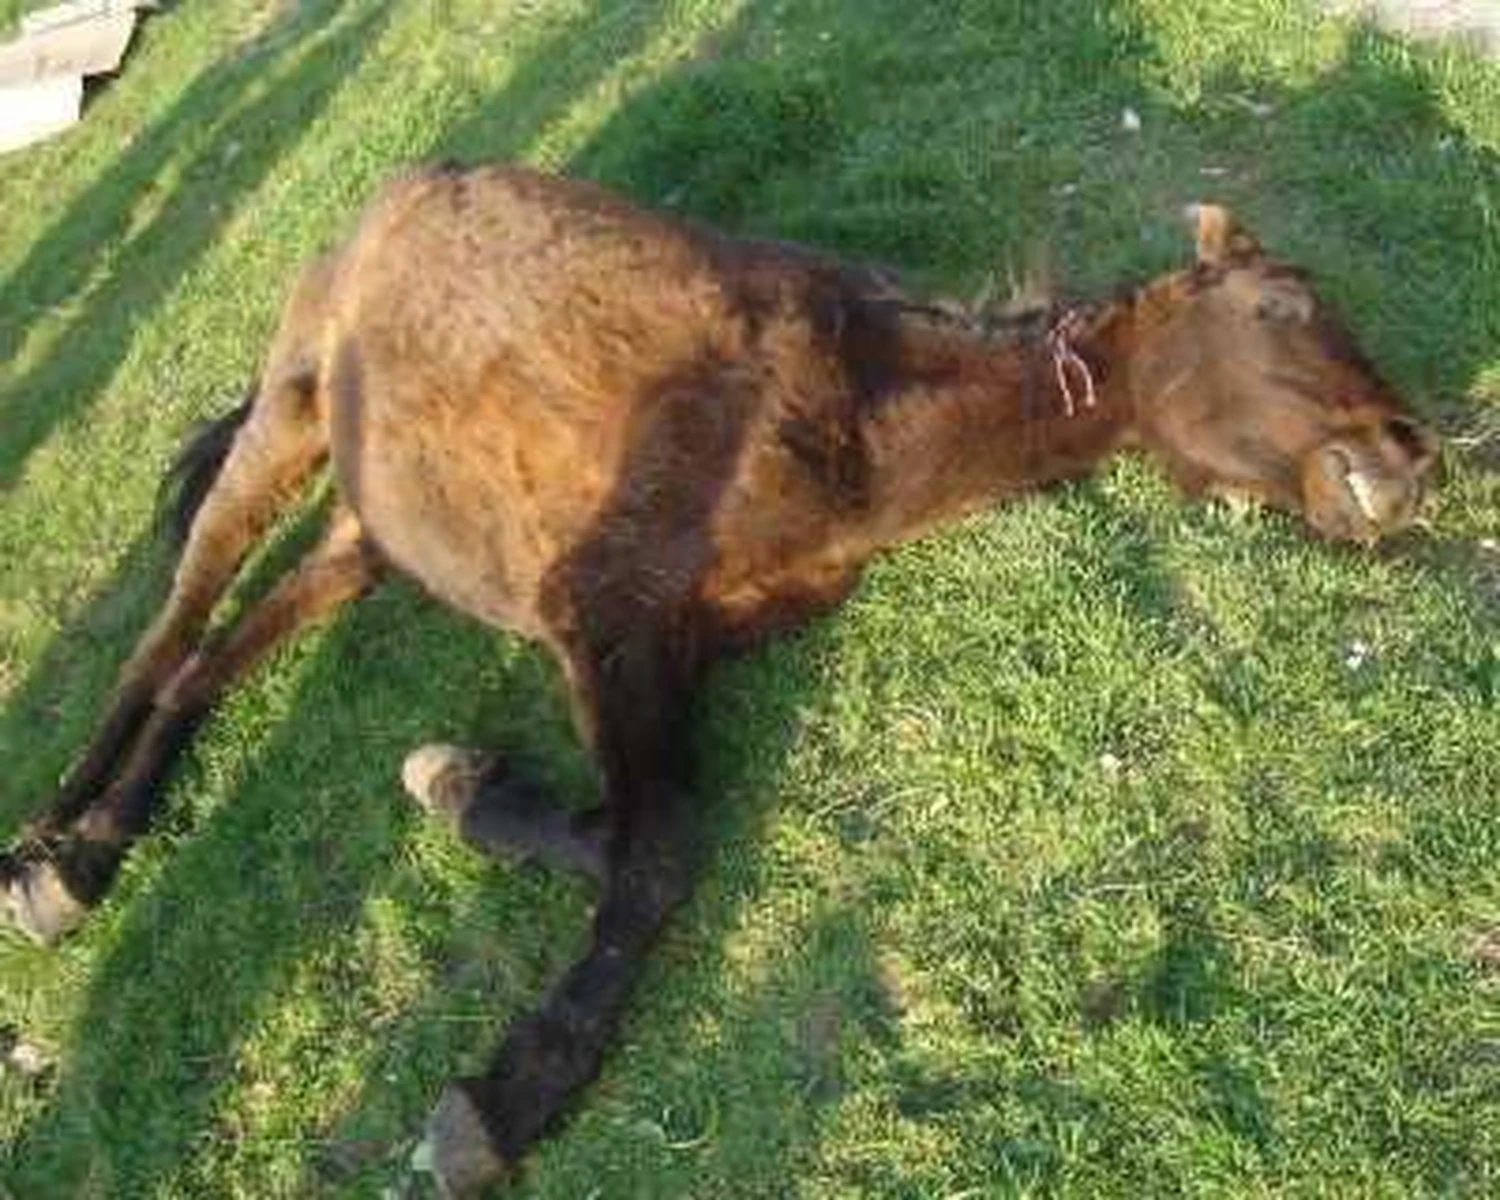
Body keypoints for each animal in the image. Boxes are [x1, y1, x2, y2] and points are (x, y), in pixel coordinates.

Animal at [1, 165, 1440, 1195]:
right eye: (1283, 307)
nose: (1411, 457)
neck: (840, 419)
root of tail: (381, 205)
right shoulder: (603, 616)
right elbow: (658, 851)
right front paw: (506, 1099)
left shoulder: (680, 641)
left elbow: (627, 835)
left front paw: (464, 787)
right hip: (287, 417)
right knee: (167, 629)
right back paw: (51, 854)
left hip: (367, 530)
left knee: (207, 666)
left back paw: (98, 848)